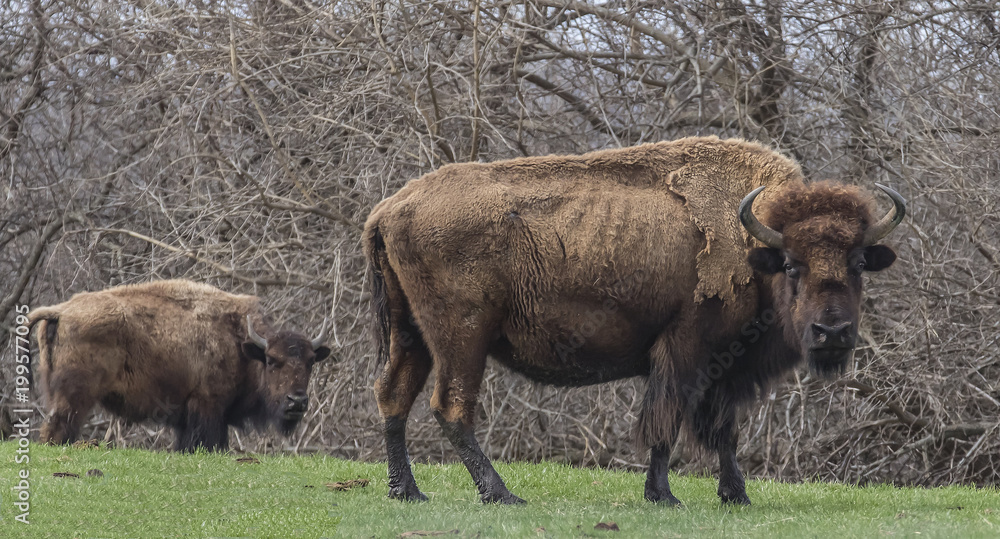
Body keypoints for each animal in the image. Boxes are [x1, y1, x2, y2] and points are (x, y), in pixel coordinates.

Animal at [27, 279, 332, 451]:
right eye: (272, 361)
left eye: (310, 362)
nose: (297, 401)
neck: (240, 343)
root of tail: (61, 311)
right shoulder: (208, 407)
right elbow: (210, 442)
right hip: (75, 398)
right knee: (58, 429)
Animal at [363, 136, 904, 505]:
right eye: (792, 265)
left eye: (859, 263)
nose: (832, 332)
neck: (753, 244)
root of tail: (389, 208)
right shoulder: (686, 351)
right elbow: (667, 420)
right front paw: (664, 495)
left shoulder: (725, 371)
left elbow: (724, 430)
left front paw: (736, 495)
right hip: (462, 337)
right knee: (451, 407)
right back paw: (502, 494)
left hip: (412, 335)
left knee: (393, 395)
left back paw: (406, 492)